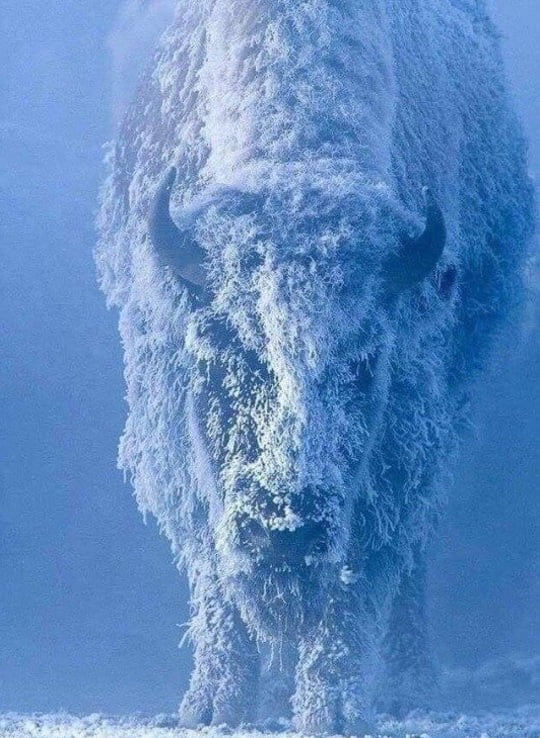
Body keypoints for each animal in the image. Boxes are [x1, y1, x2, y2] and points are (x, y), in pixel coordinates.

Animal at [95, 0, 532, 732]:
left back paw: (409, 686)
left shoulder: (393, 441)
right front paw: (215, 704)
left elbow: (354, 583)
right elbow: (216, 571)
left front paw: (332, 711)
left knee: (411, 557)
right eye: (221, 353)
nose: (286, 530)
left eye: (361, 364)